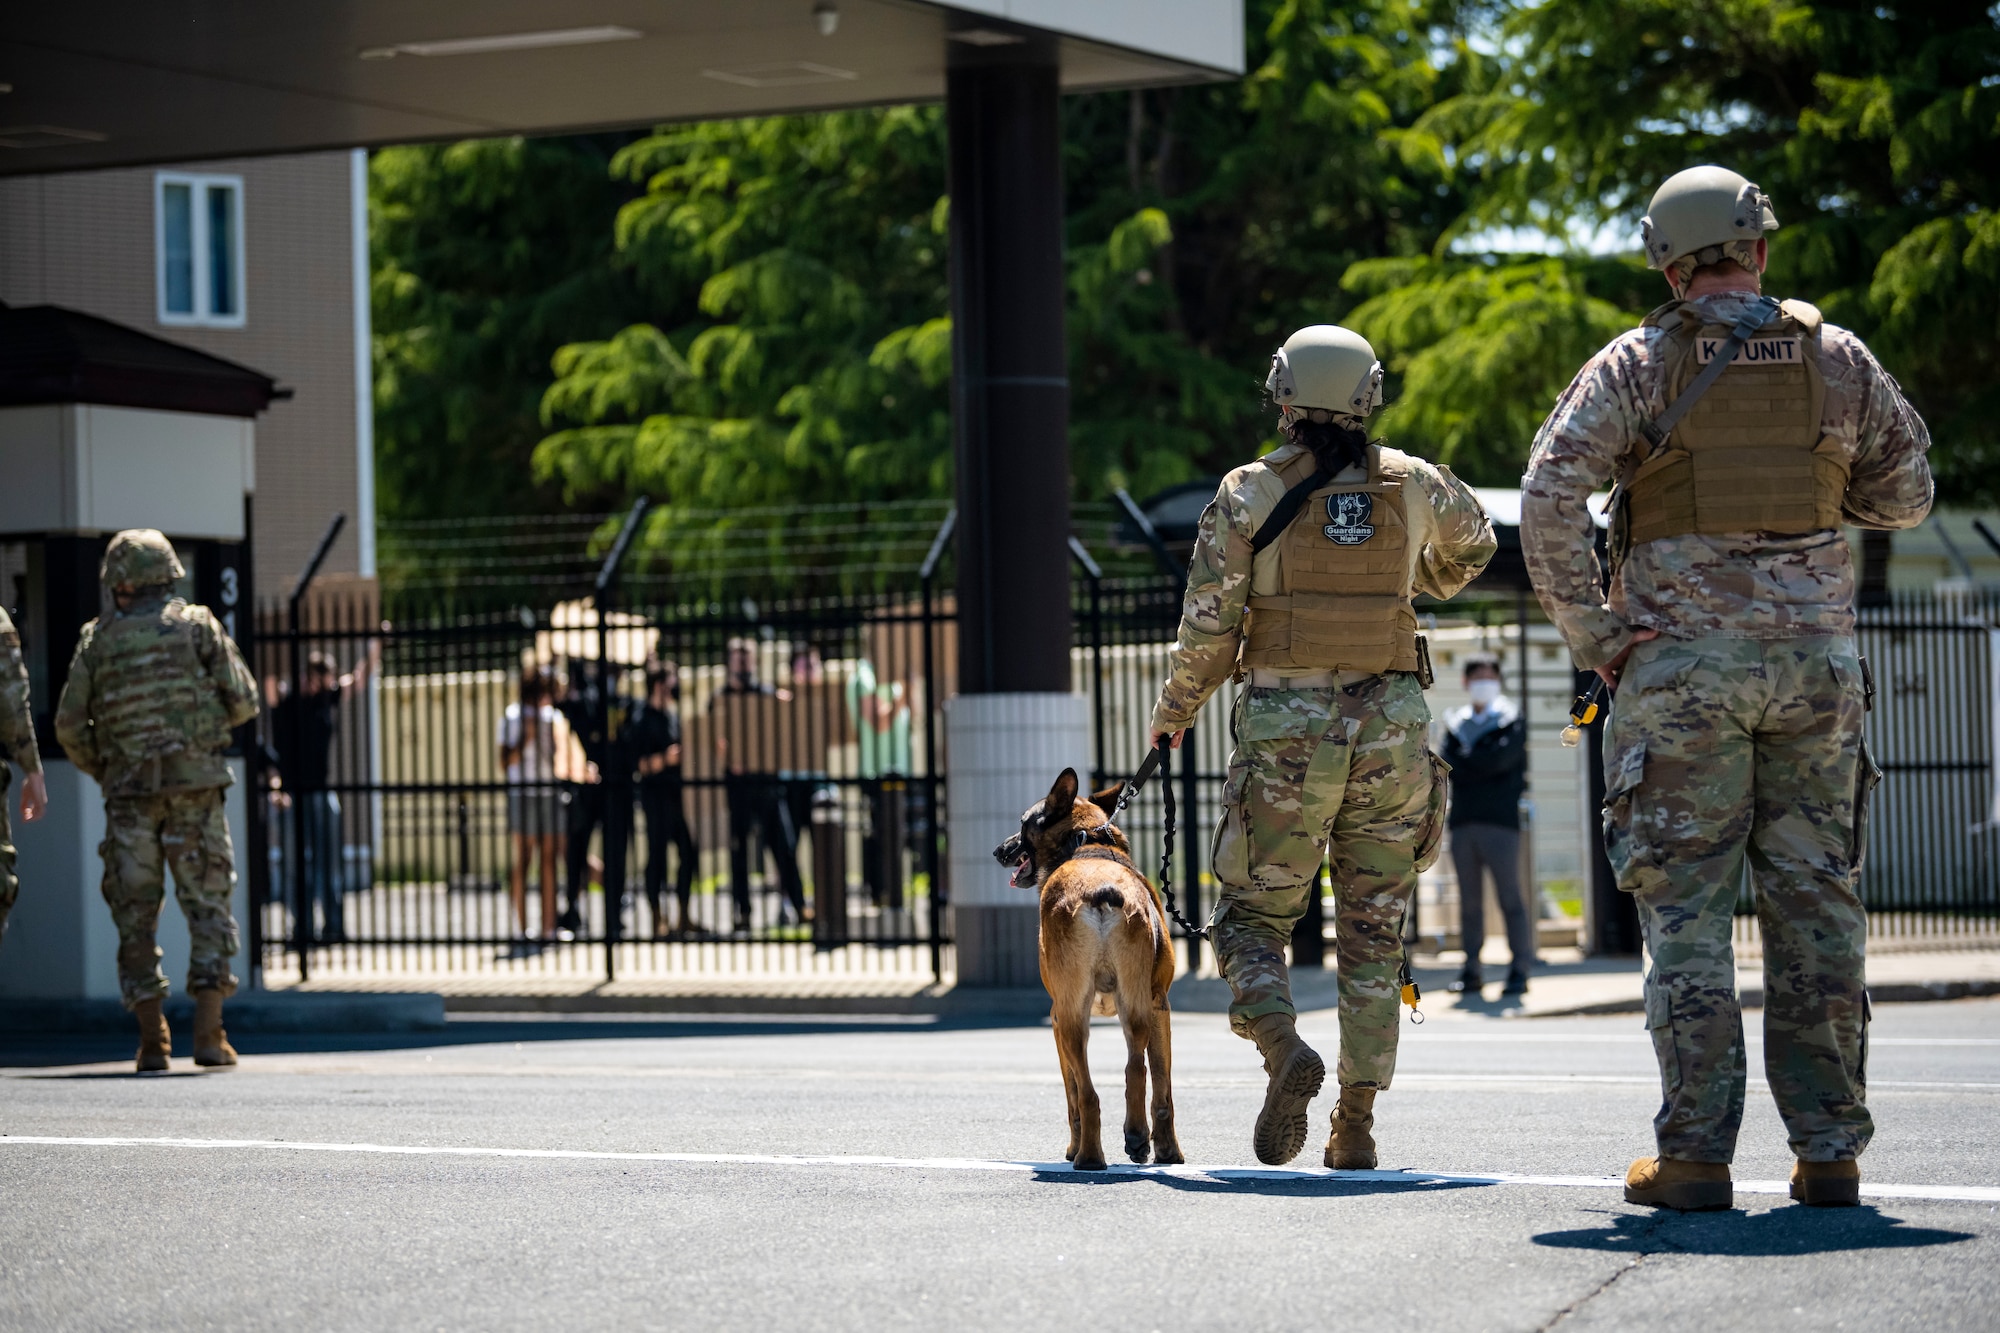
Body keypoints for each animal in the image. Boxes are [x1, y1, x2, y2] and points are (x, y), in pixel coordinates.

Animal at [992, 764, 1176, 1168]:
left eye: (1024, 823)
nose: (998, 850)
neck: (1086, 843)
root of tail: (1101, 889)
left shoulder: (1055, 1019)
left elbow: (1071, 1094)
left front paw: (1072, 1147)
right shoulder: (1159, 1005)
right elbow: (1162, 1087)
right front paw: (1168, 1151)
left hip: (1071, 1016)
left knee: (1088, 1094)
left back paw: (1088, 1156)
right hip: (1138, 1008)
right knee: (1136, 1070)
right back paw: (1137, 1138)